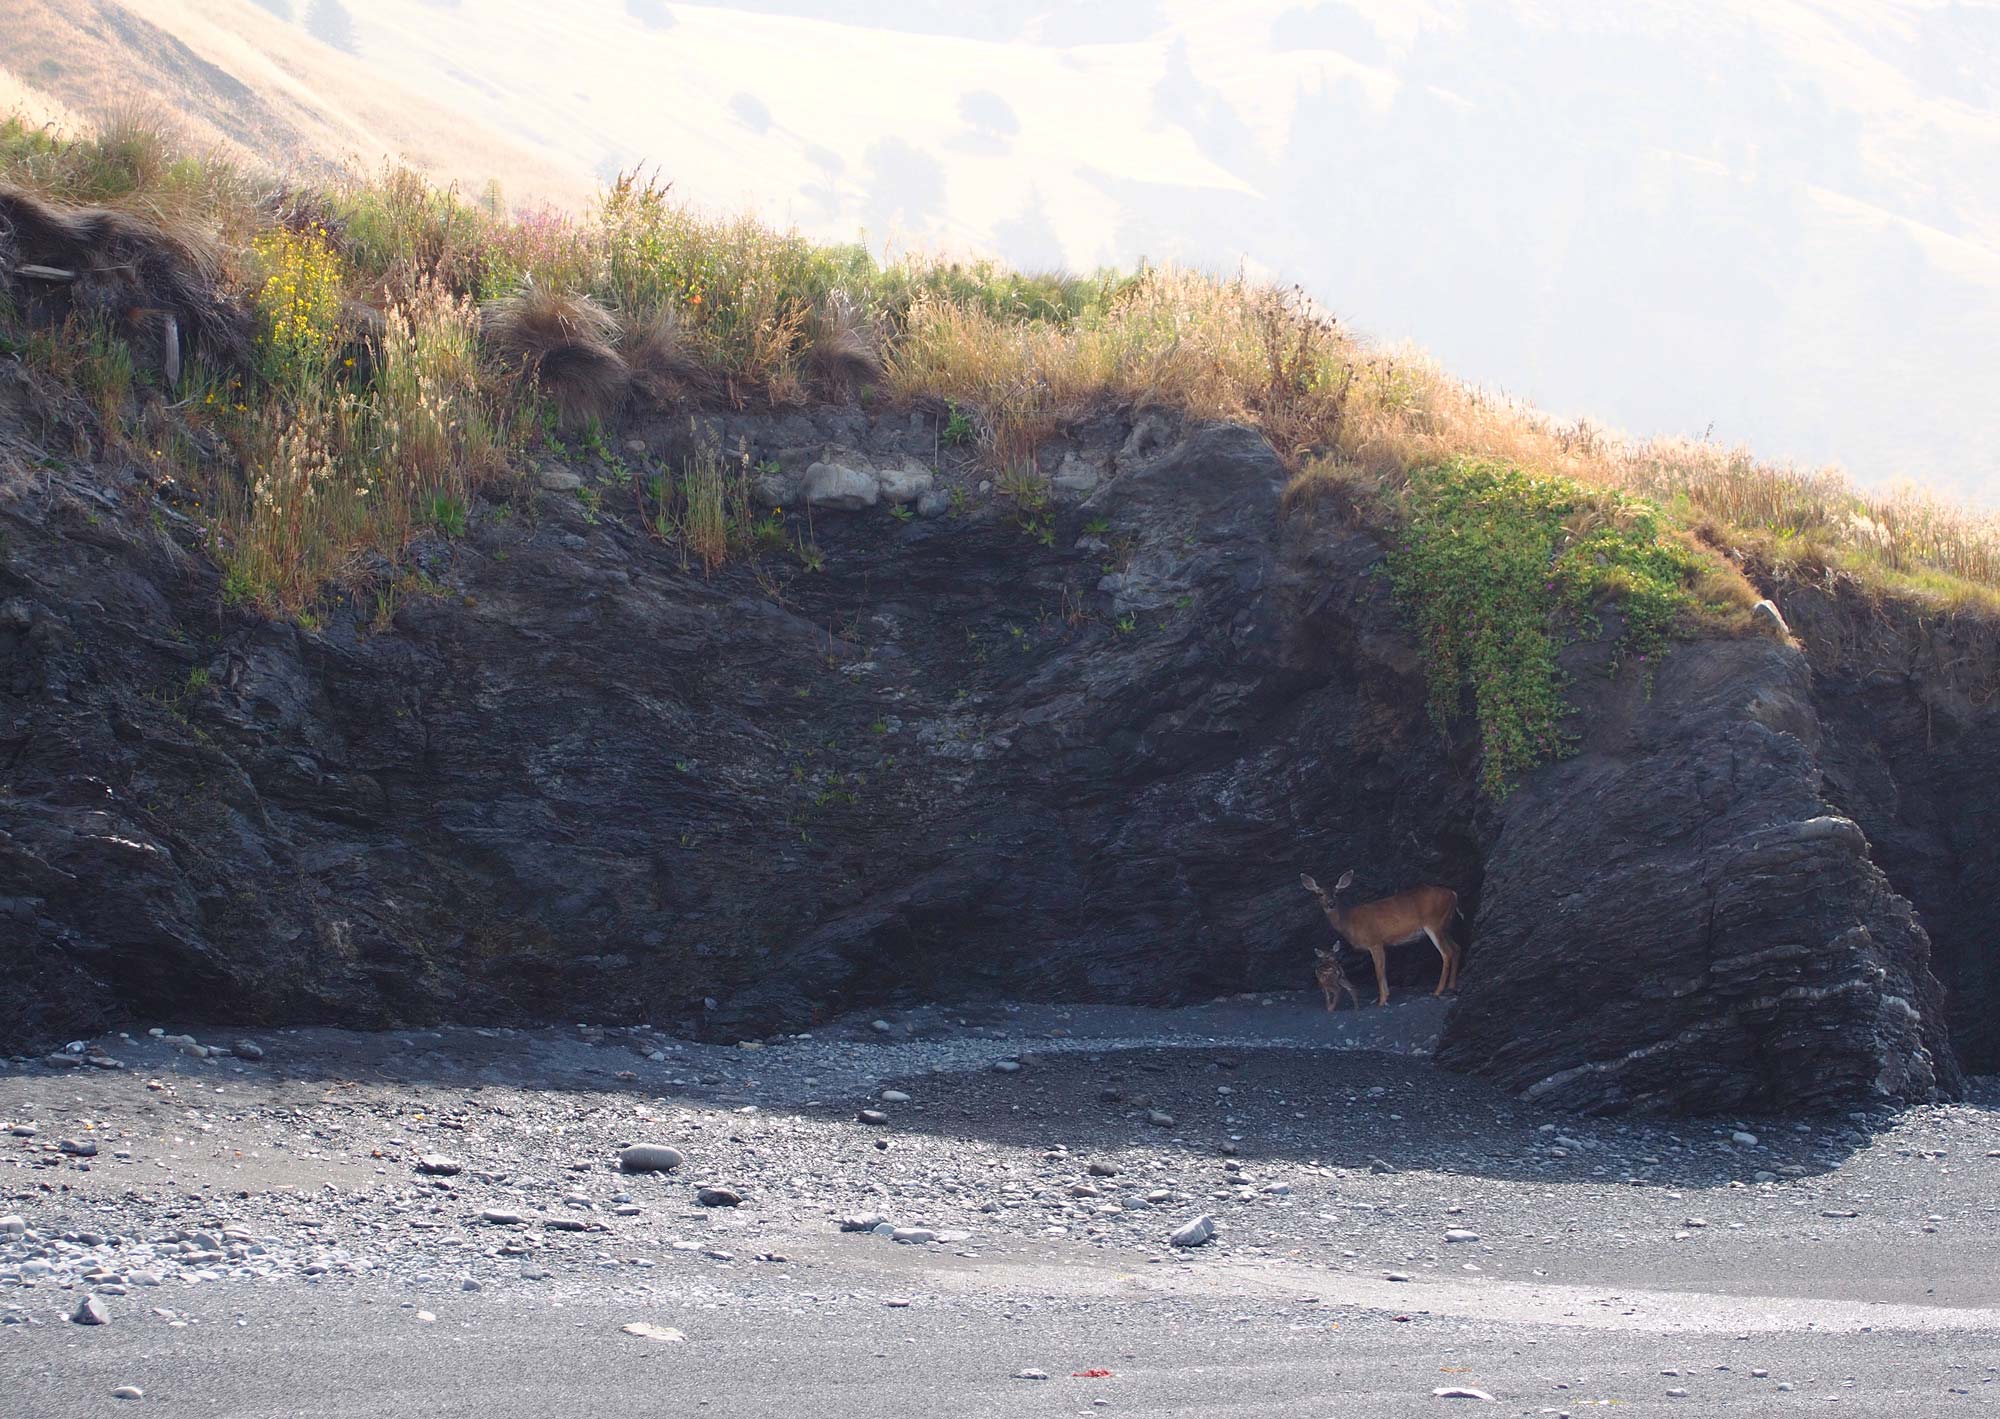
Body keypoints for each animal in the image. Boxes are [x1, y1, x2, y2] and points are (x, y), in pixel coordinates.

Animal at [1300, 871, 1462, 1010]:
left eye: (1336, 892)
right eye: (1320, 893)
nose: (1331, 903)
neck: (1350, 922)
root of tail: (1453, 894)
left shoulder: (1375, 941)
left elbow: (1379, 972)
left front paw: (1382, 1001)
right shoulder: (1381, 943)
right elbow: (1382, 971)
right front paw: (1385, 997)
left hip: (1434, 923)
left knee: (1446, 953)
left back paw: (1437, 991)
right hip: (1445, 926)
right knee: (1456, 948)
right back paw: (1452, 986)